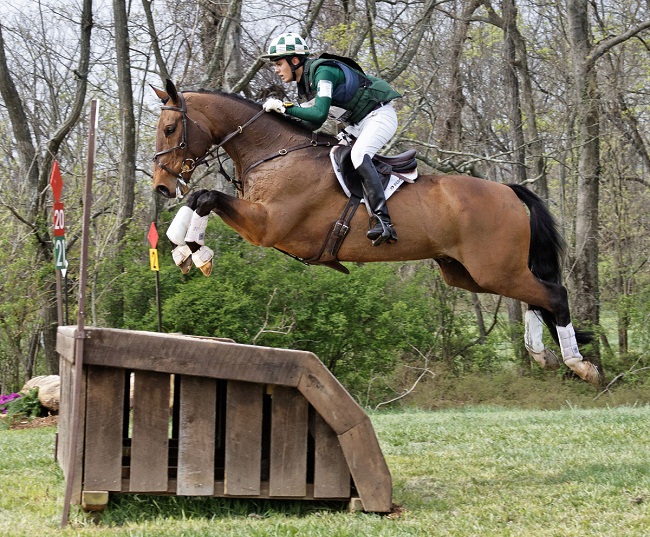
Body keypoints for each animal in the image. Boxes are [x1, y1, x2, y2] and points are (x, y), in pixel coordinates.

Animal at [151, 77, 596, 384]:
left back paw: (579, 365)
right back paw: (541, 355)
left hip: (493, 269)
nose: (160, 186)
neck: (274, 152)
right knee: (534, 298)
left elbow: (206, 197)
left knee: (553, 295)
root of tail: (508, 190)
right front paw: (181, 248)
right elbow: (201, 198)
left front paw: (194, 250)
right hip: (470, 274)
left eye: (170, 129)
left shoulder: (268, 225)